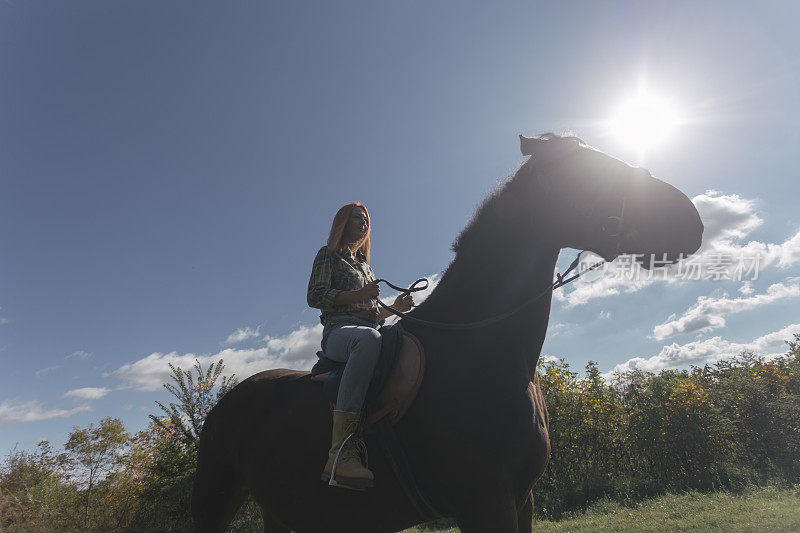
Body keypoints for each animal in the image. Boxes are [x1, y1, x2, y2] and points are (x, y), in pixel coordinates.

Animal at [191, 133, 704, 532]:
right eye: (589, 170)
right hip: (215, 501)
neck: (477, 349)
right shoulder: (485, 503)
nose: (692, 220)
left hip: (281, 513)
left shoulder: (521, 500)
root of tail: (225, 404)